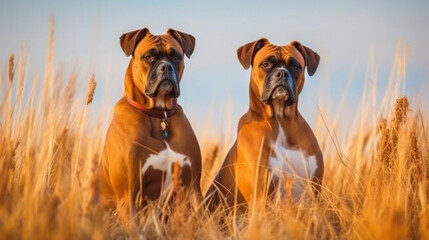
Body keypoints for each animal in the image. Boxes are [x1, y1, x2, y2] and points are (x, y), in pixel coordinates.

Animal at [99, 28, 201, 227]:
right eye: (149, 57)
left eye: (175, 56)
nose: (166, 67)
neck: (159, 116)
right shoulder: (129, 195)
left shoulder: (192, 188)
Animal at [206, 38, 322, 211]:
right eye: (266, 64)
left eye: (295, 66)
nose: (282, 72)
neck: (281, 120)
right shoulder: (261, 195)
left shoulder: (314, 193)